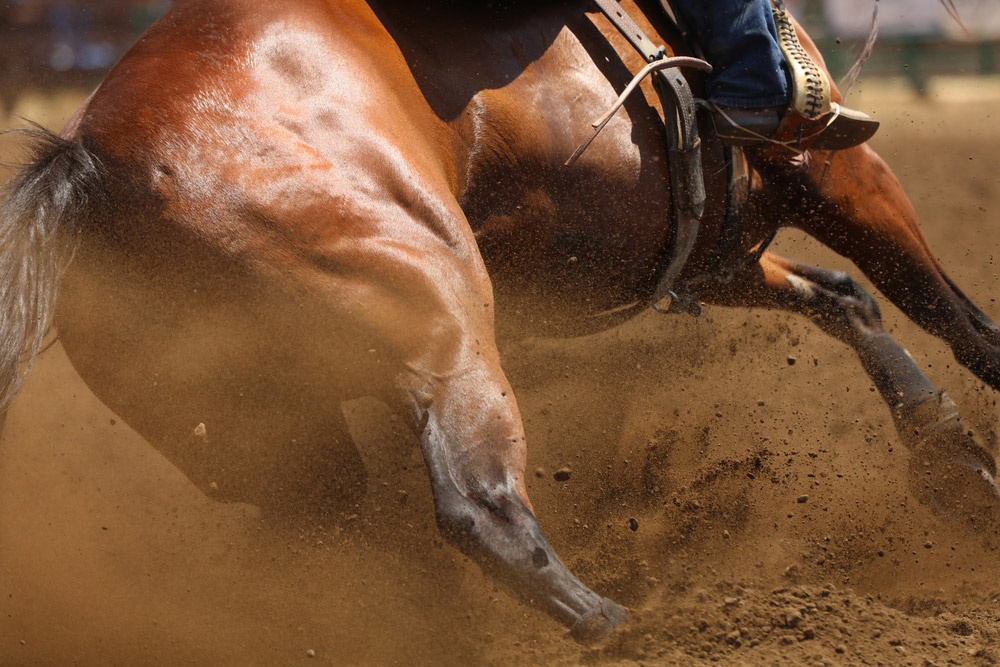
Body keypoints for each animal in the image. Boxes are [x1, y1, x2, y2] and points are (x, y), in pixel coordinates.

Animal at [1, 0, 1000, 644]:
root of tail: (95, 165)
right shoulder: (831, 168)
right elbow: (943, 304)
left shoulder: (704, 246)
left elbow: (844, 297)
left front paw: (951, 457)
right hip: (445, 328)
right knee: (476, 503)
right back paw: (617, 625)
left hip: (255, 434)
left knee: (342, 529)